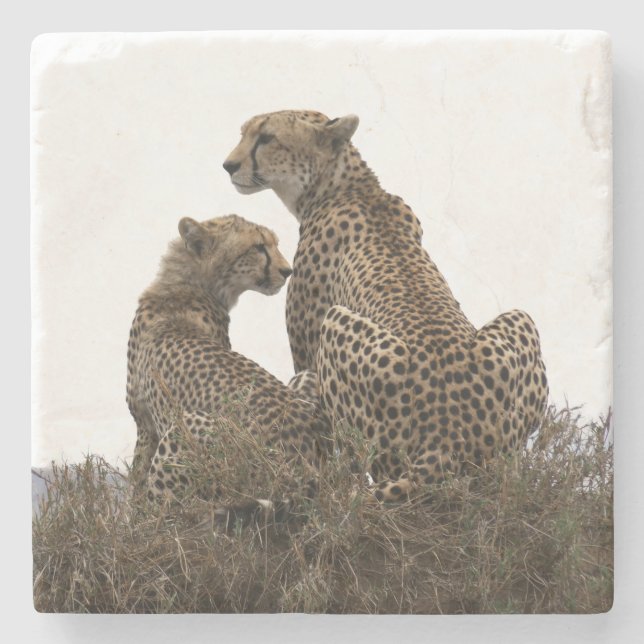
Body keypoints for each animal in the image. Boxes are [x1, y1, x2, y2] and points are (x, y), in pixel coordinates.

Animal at [126, 213, 330, 512]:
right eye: (258, 247)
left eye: (274, 243)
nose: (287, 270)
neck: (184, 287)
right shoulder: (144, 424)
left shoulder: (145, 426)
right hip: (306, 379)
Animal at [223, 109, 549, 502]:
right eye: (243, 132)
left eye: (267, 138)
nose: (229, 165)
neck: (348, 187)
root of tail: (448, 436)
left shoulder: (307, 353)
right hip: (520, 325)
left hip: (336, 328)